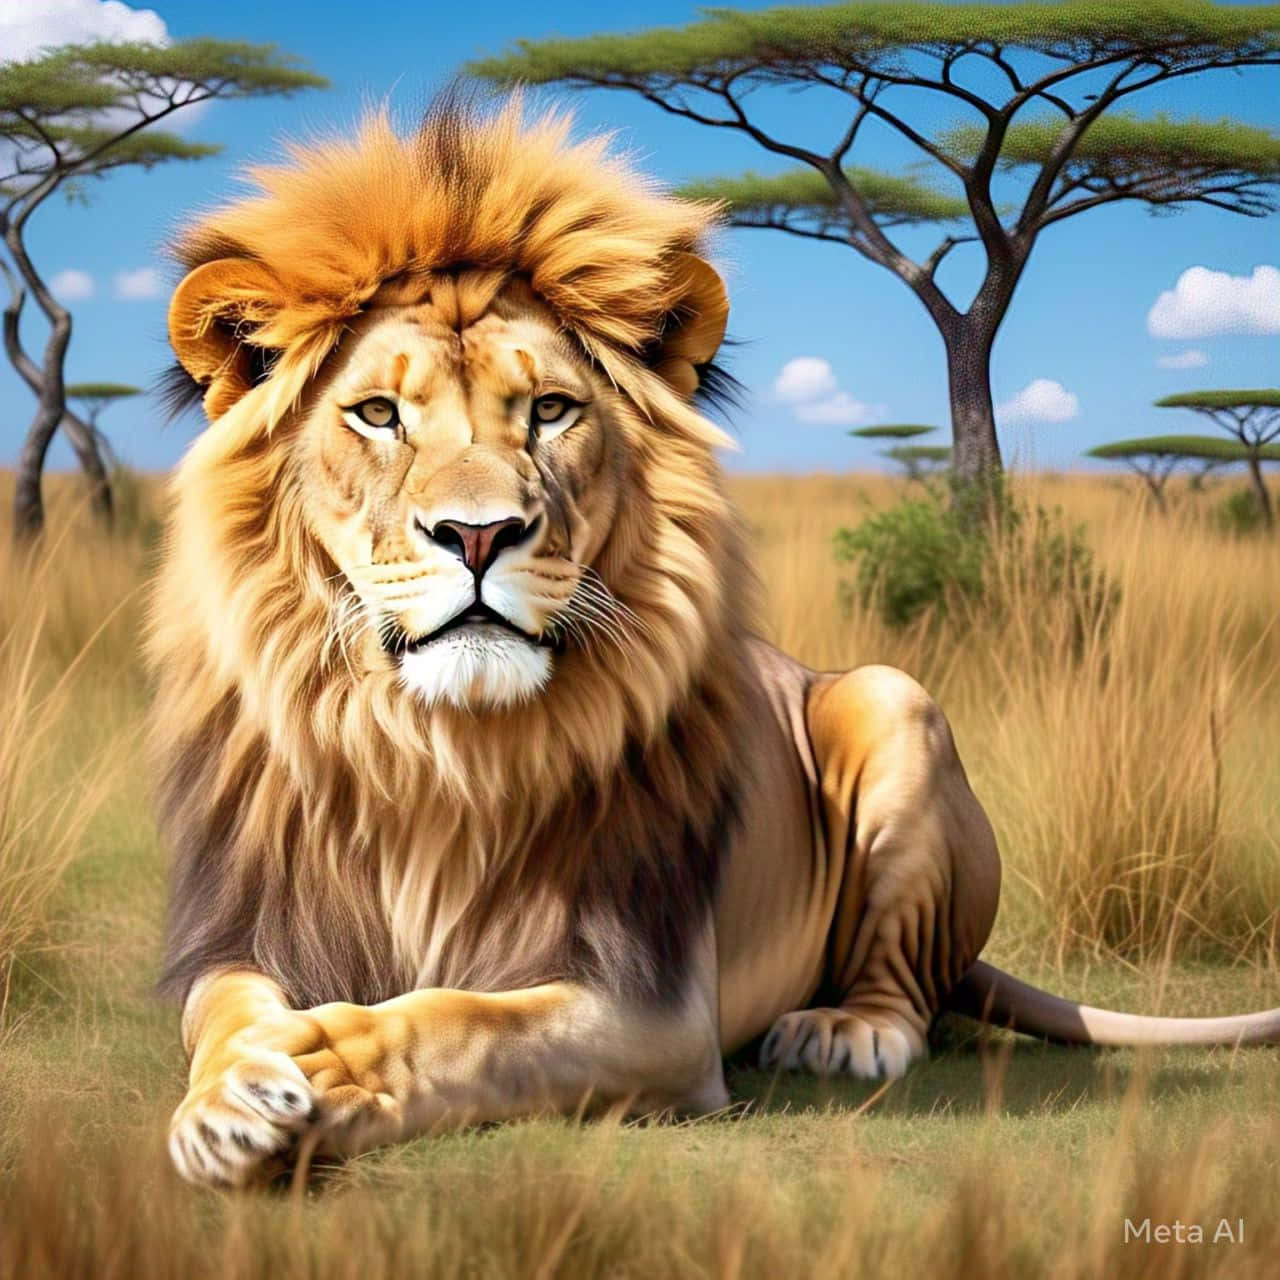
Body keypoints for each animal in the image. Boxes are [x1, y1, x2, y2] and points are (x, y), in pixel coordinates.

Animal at [153, 98, 1280, 1189]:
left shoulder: (649, 1008)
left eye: (550, 410)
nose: (478, 534)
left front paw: (322, 1065)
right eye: (378, 413)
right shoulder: (246, 933)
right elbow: (225, 1012)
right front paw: (232, 1097)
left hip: (892, 699)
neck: (440, 752)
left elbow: (452, 1021)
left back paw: (844, 1031)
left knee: (909, 990)